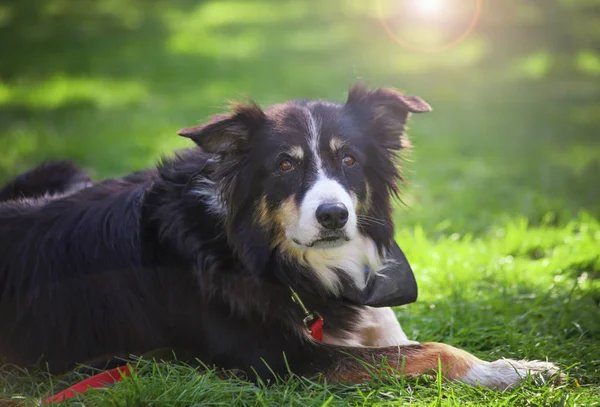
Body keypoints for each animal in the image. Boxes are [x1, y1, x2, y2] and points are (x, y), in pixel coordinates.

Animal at [0, 85, 560, 388]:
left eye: (348, 160)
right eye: (285, 166)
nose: (334, 216)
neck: (255, 249)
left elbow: (391, 326)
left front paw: (515, 366)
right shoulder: (282, 361)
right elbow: (433, 350)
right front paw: (508, 371)